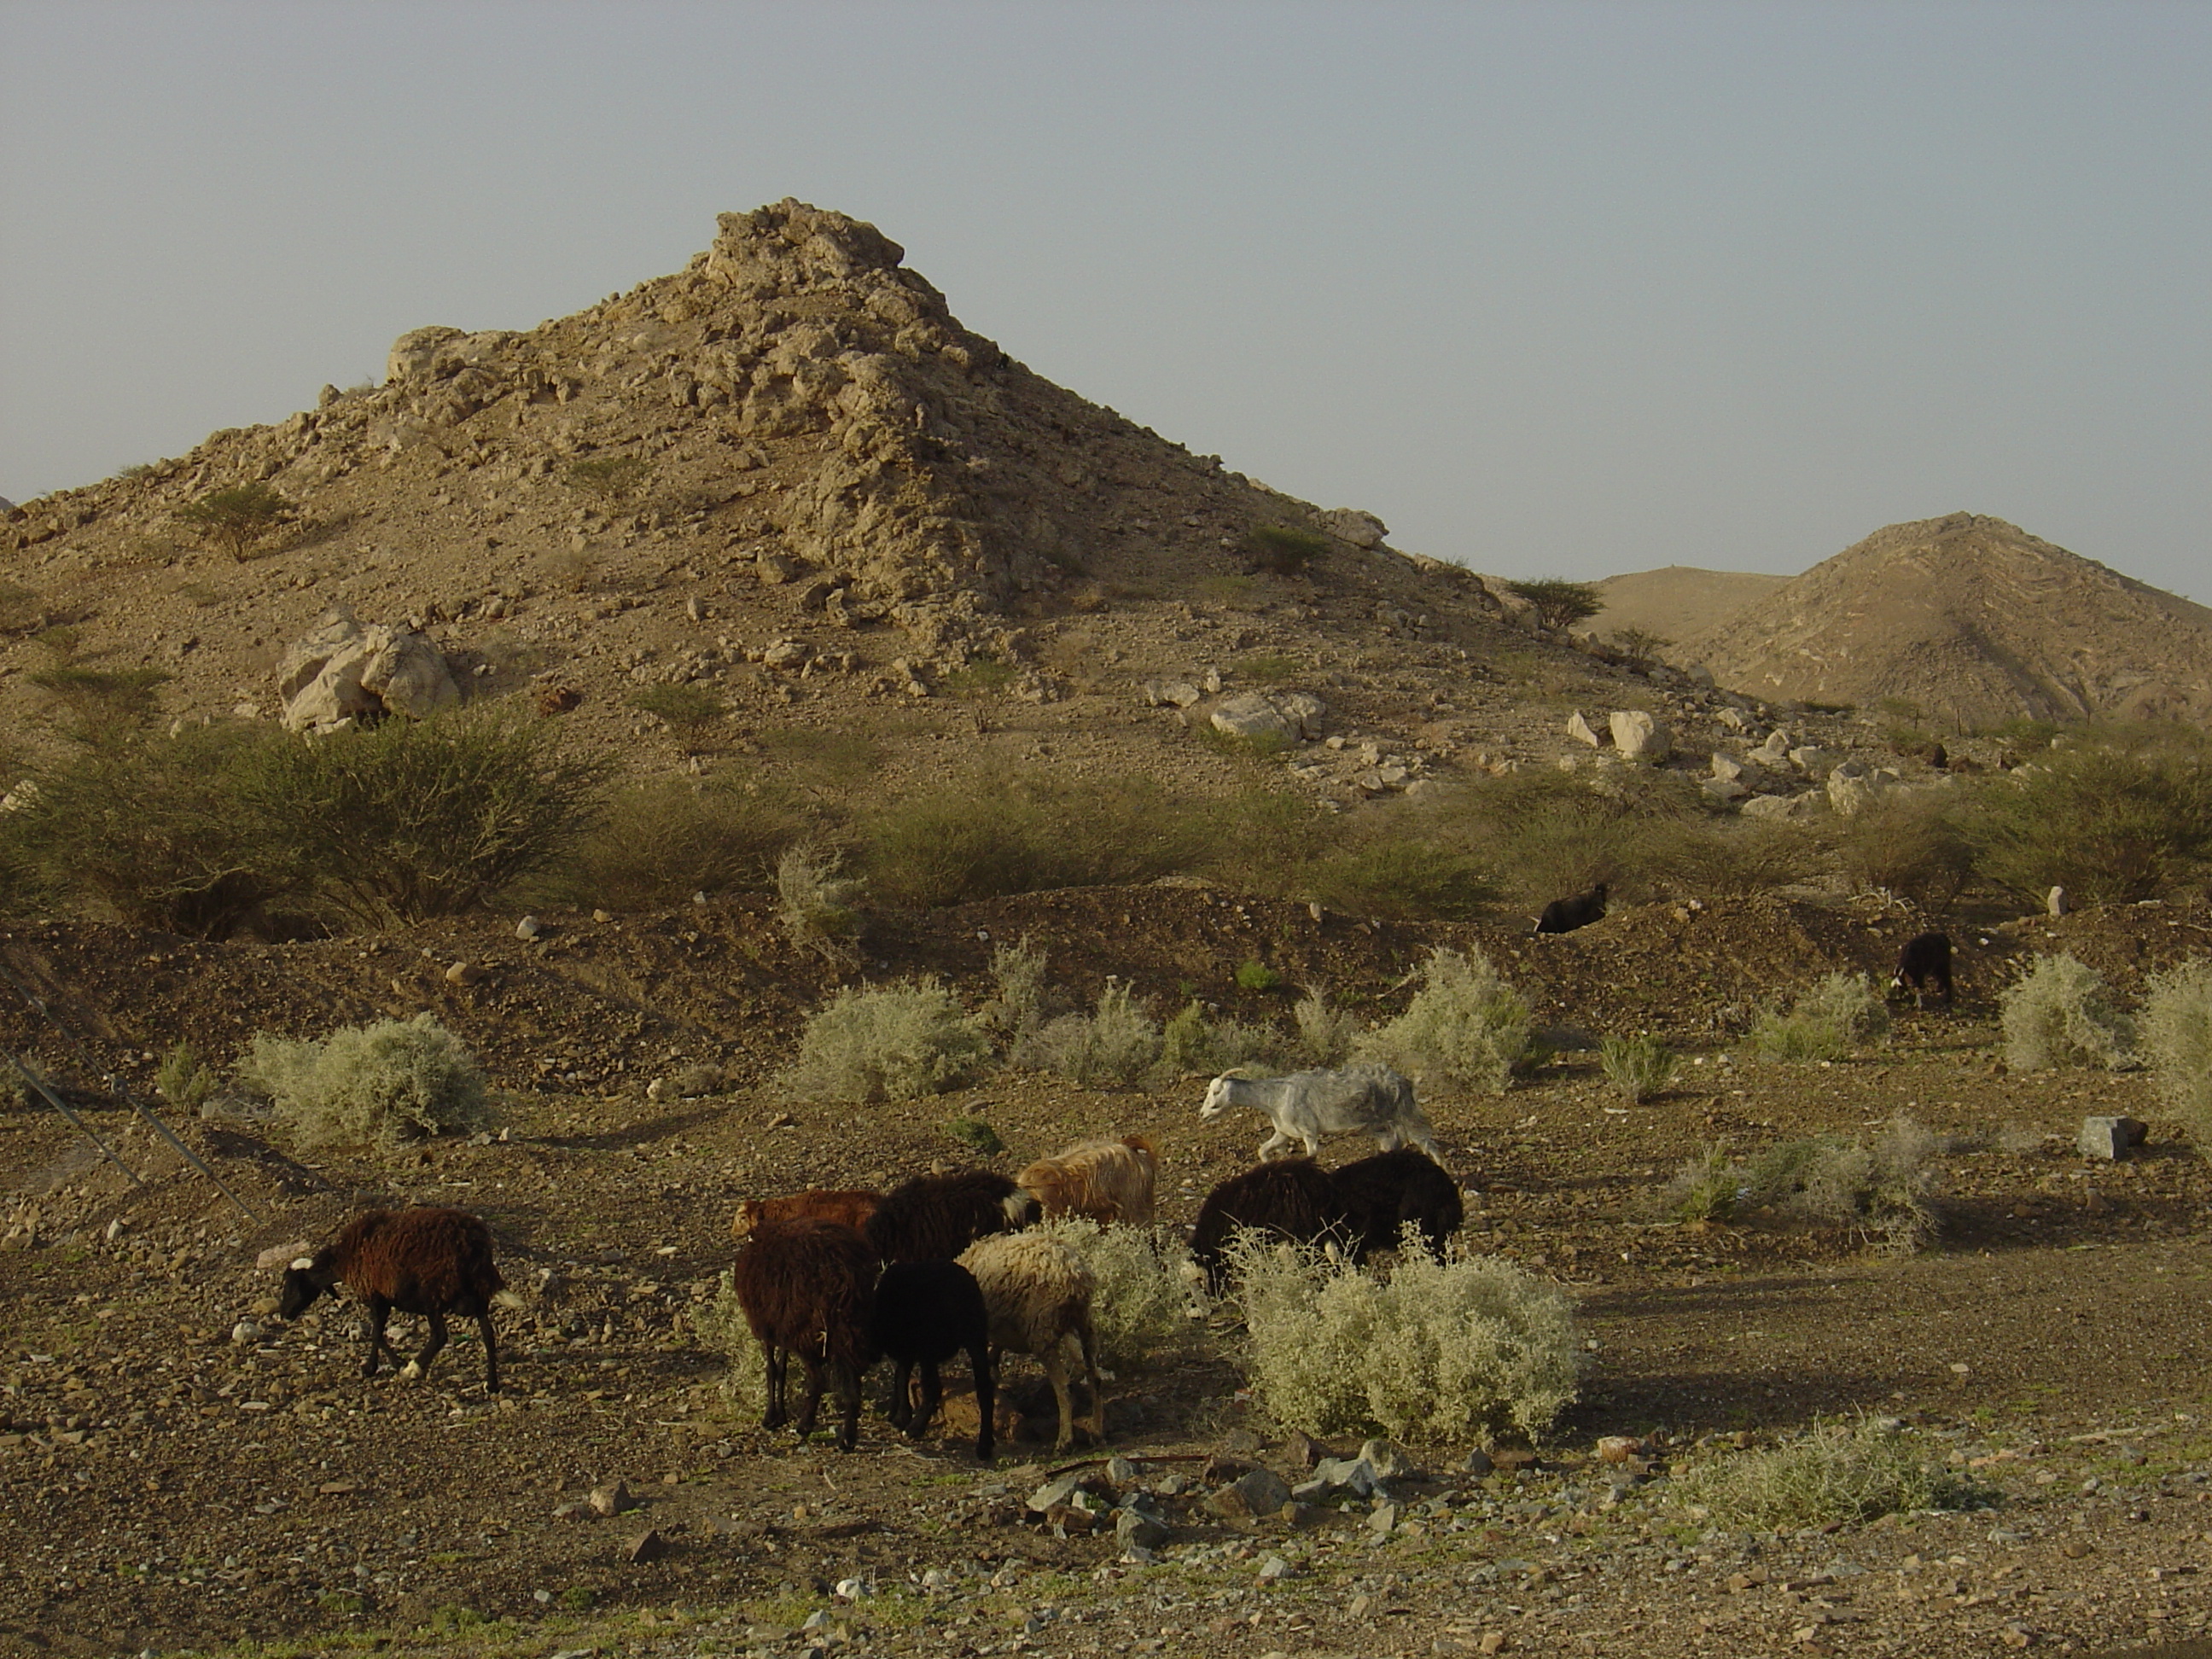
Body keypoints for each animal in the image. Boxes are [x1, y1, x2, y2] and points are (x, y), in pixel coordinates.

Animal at [274, 1212, 515, 1398]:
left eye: (291, 1286)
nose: (284, 1314)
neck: (343, 1260)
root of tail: (475, 1244)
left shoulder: (376, 1296)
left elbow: (376, 1334)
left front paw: (385, 1366)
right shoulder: (383, 1298)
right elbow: (378, 1334)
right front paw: (380, 1366)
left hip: (434, 1293)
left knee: (440, 1335)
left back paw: (413, 1370)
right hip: (477, 1293)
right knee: (488, 1335)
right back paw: (492, 1384)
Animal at [730, 1220, 876, 1451]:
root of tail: (843, 1270)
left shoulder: (767, 1326)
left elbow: (771, 1369)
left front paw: (770, 1417)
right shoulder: (783, 1327)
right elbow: (782, 1369)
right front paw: (780, 1416)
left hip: (810, 1331)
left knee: (818, 1380)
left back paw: (805, 1427)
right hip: (849, 1327)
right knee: (853, 1383)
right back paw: (847, 1440)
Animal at [959, 1238, 1115, 1451]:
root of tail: (1073, 1272)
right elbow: (993, 1360)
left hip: (1042, 1329)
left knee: (1063, 1385)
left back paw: (1064, 1441)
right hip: (1084, 1322)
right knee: (1094, 1377)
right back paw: (1097, 1434)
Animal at [1203, 1066, 1441, 1167]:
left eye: (1217, 1091)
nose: (1203, 1114)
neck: (1277, 1097)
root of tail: (1404, 1081)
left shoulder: (1309, 1132)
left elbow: (1312, 1155)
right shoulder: (1283, 1132)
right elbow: (1263, 1150)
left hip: (1405, 1113)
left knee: (1427, 1143)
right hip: (1377, 1124)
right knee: (1392, 1142)